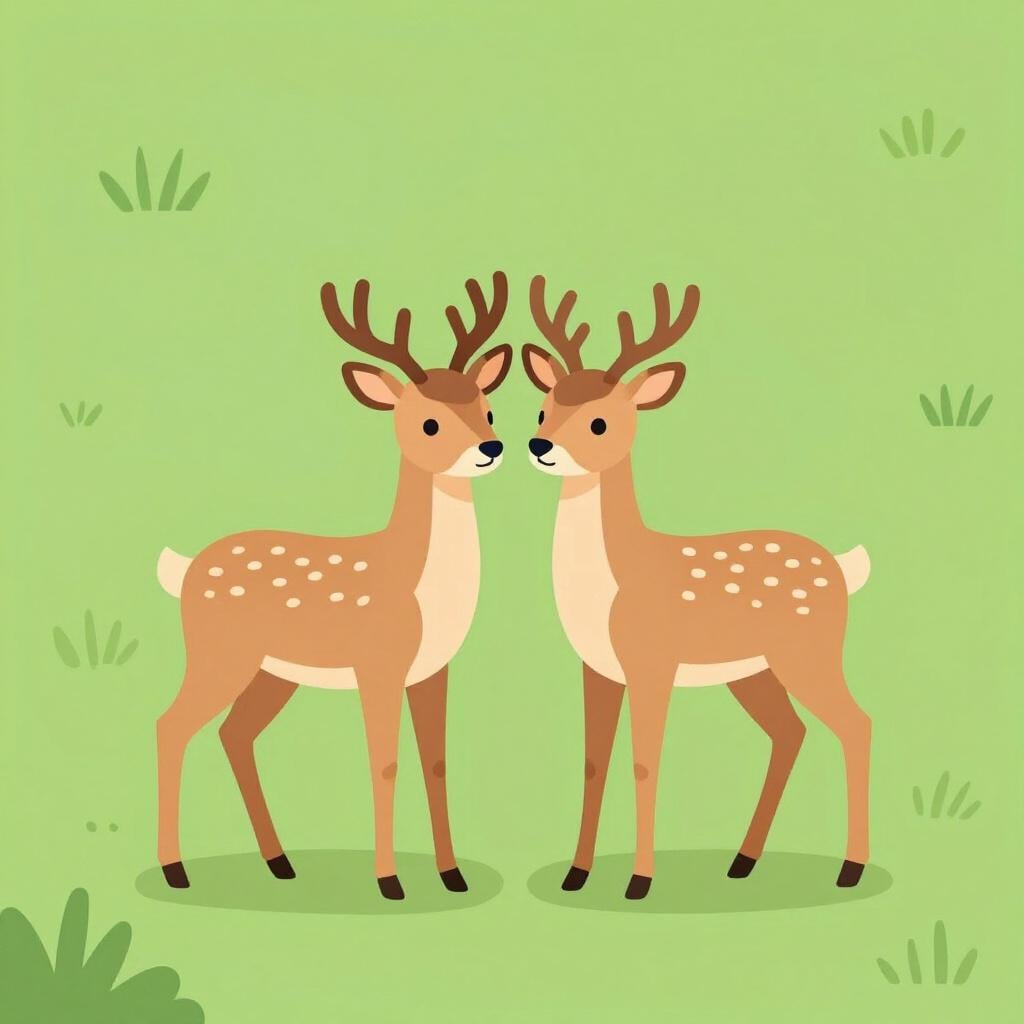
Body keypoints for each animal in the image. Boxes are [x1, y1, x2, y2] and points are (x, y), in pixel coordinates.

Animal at [154, 272, 512, 900]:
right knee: (171, 726)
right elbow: (384, 762)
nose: (489, 449)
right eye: (429, 423)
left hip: (272, 673)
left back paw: (279, 862)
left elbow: (436, 762)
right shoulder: (378, 664)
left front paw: (453, 876)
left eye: (487, 410)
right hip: (218, 653)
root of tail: (188, 568)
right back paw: (177, 871)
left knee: (233, 734)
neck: (417, 584)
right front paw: (390, 882)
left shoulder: (433, 669)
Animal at [522, 275, 873, 900]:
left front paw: (639, 882)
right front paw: (576, 875)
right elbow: (593, 762)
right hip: (754, 672)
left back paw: (849, 870)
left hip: (810, 652)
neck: (613, 584)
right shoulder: (597, 667)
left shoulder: (653, 662)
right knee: (791, 733)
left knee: (856, 724)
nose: (540, 446)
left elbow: (645, 762)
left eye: (599, 423)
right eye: (544, 407)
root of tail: (839, 566)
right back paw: (743, 861)